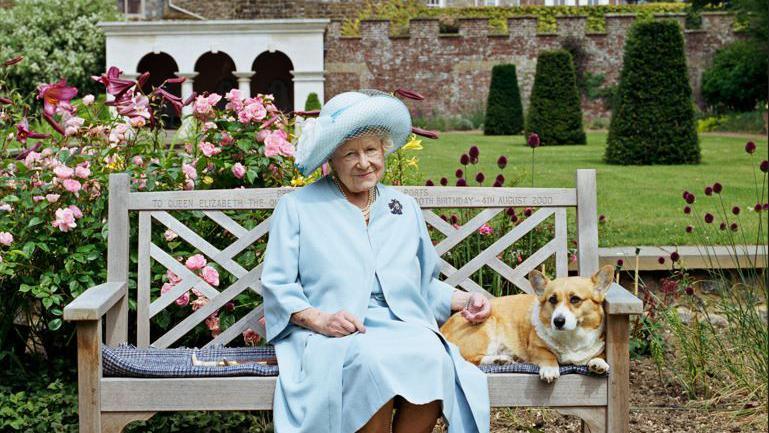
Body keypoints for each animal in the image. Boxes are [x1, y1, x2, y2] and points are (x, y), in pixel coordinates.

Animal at [438, 264, 612, 382]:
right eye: (552, 299)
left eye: (575, 299)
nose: (558, 321)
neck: (571, 337)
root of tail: (442, 328)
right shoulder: (535, 348)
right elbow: (548, 355)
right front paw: (550, 369)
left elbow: (600, 354)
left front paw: (598, 363)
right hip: (486, 327)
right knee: (471, 359)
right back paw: (498, 360)